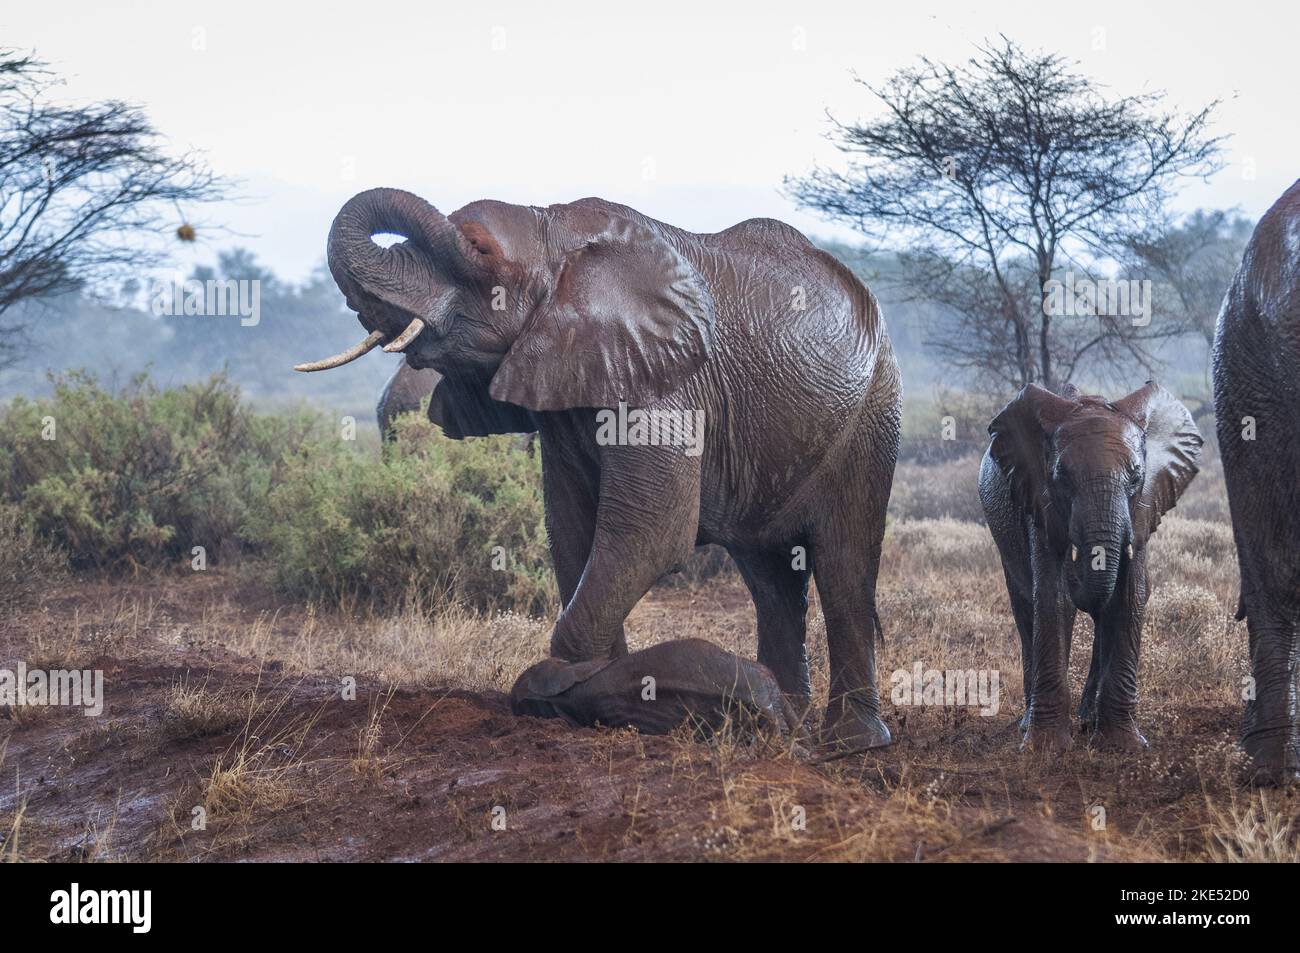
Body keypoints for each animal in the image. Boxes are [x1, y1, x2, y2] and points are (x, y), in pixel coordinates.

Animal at [979, 382, 1202, 751]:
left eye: (1136, 478)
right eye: (1061, 478)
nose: (1079, 562)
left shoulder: (1143, 506)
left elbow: (1129, 596)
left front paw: (1123, 747)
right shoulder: (1037, 499)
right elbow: (1054, 597)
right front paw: (1044, 748)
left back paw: (1087, 722)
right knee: (1025, 606)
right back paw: (1031, 723)